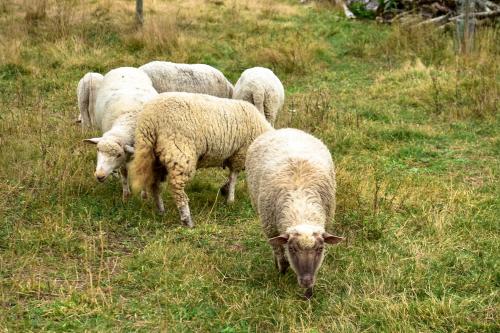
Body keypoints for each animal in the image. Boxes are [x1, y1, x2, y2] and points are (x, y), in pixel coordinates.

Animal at [84, 66, 157, 198]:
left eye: (118, 154)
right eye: (97, 149)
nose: (100, 176)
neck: (129, 120)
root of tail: (126, 67)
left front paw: (144, 196)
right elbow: (124, 172)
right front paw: (126, 195)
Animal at [129, 92, 274, 227]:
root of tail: (148, 121)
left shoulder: (233, 156)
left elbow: (231, 178)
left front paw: (225, 190)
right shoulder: (239, 154)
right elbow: (233, 177)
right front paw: (230, 199)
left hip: (156, 158)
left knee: (155, 186)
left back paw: (161, 211)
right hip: (180, 152)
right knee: (177, 189)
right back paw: (187, 219)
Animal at [245, 127, 344, 298]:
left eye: (320, 249)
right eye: (292, 249)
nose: (306, 281)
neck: (300, 206)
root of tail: (284, 129)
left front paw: (309, 294)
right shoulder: (272, 229)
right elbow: (281, 257)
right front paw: (281, 273)